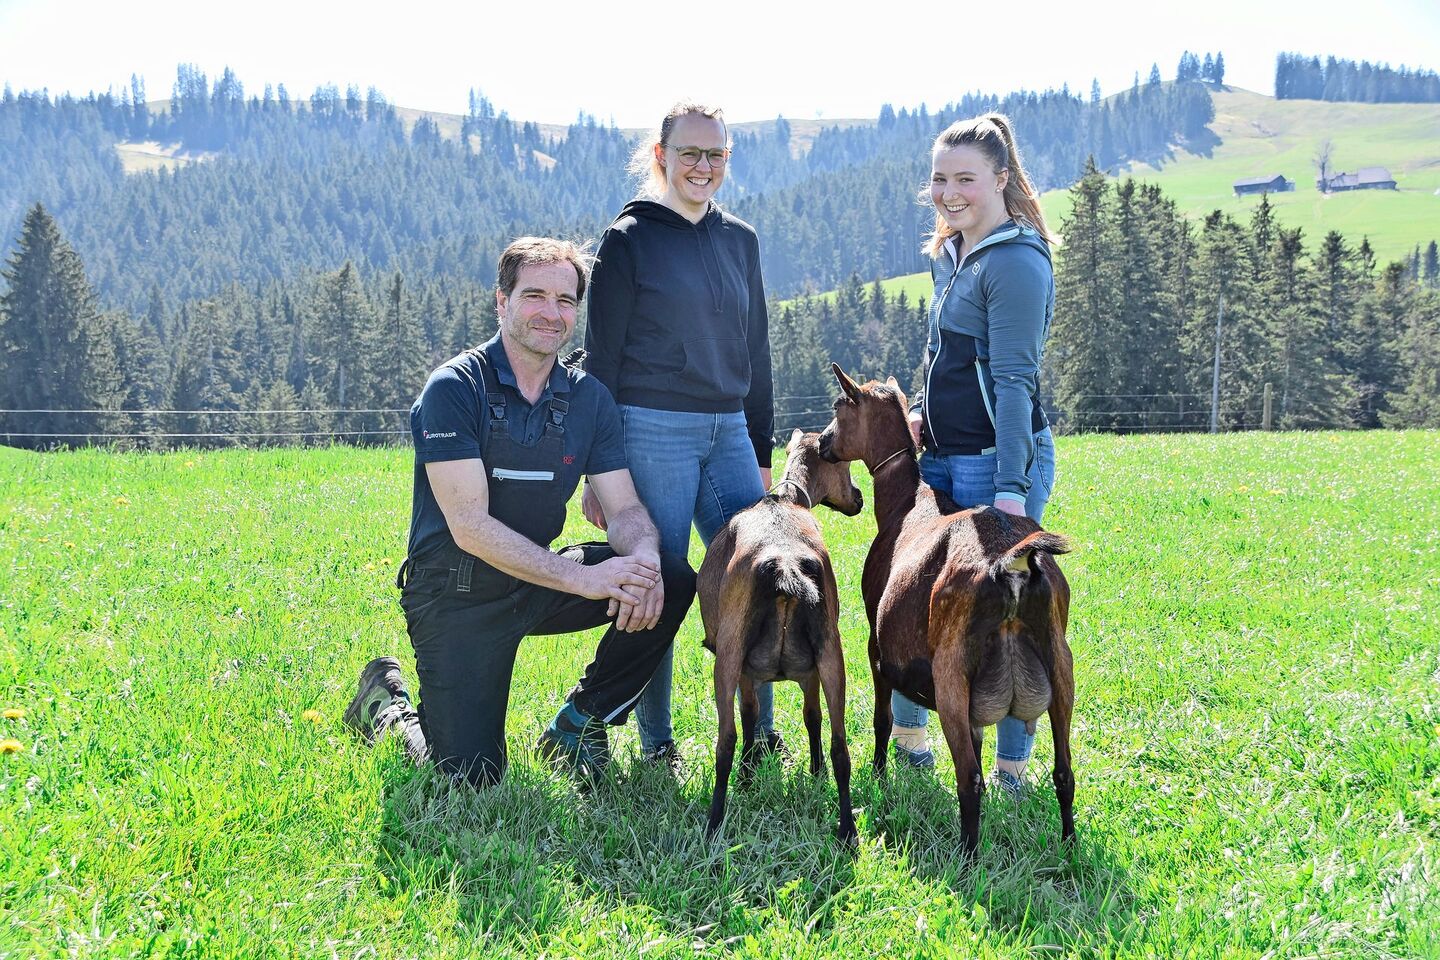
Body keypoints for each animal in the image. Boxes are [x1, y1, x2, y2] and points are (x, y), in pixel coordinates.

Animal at [699, 429, 863, 844]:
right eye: (844, 462)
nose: (859, 497)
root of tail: (786, 563)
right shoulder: (809, 670)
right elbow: (812, 717)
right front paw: (816, 774)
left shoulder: (745, 669)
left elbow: (750, 715)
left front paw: (747, 778)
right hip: (831, 652)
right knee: (841, 744)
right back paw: (847, 830)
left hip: (729, 654)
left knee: (725, 738)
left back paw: (714, 824)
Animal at [818, 364, 1074, 854]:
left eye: (839, 407)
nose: (822, 443)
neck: (906, 501)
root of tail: (1012, 563)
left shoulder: (877, 646)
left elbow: (882, 719)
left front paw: (880, 776)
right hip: (1059, 661)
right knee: (1064, 773)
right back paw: (1069, 850)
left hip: (952, 673)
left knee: (969, 777)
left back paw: (968, 857)